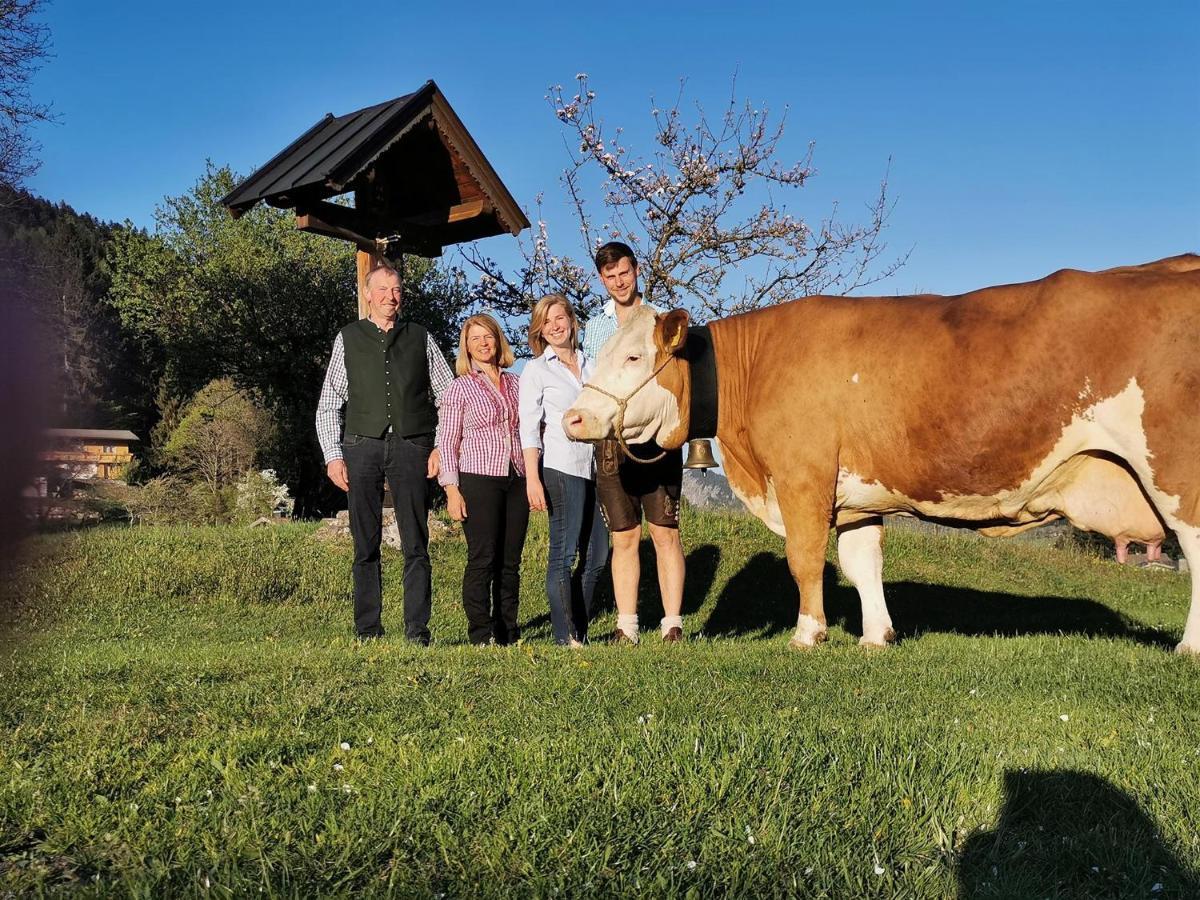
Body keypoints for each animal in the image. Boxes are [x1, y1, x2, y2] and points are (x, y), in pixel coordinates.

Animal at [561, 254, 1200, 657]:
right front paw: (875, 637)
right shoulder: (856, 493)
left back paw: (1188, 647)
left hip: (1174, 470)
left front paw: (807, 634)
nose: (575, 419)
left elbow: (804, 559)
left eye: (634, 358)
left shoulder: (802, 477)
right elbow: (861, 562)